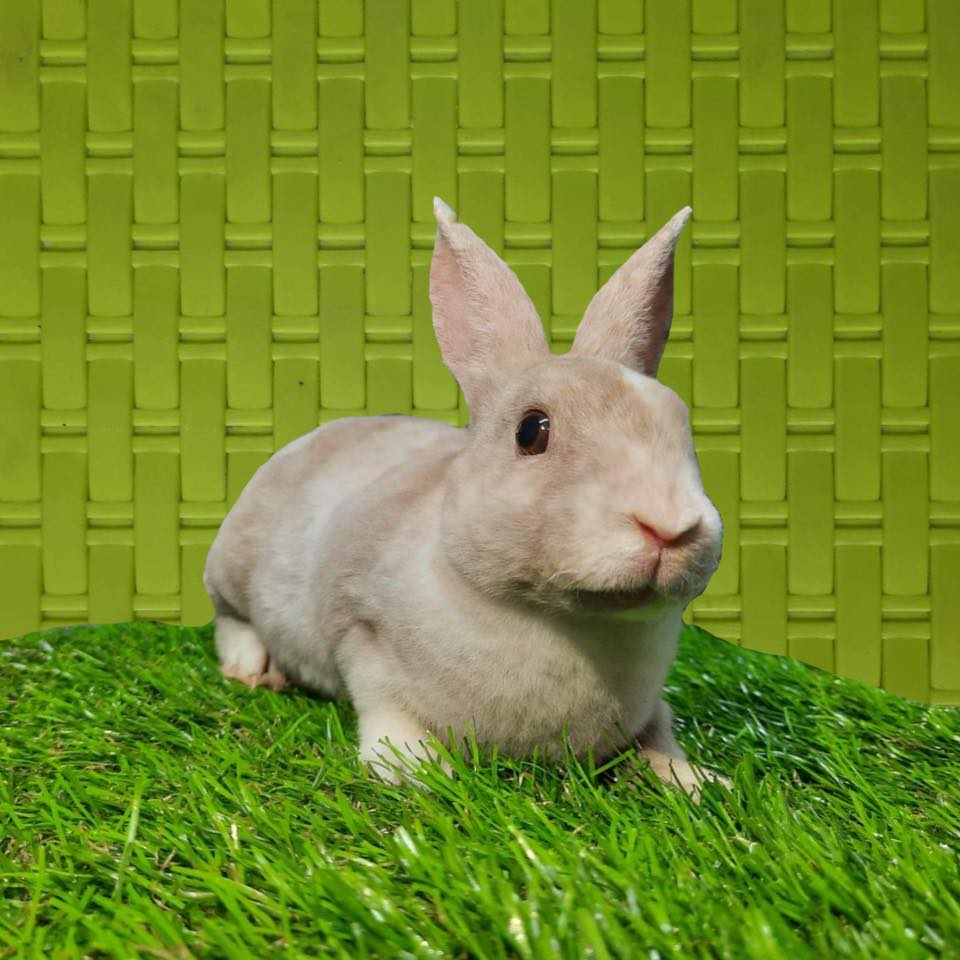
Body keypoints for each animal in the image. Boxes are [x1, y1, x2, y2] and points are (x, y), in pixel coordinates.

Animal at [203, 197, 731, 801]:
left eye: (680, 421)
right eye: (532, 431)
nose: (671, 526)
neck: (557, 618)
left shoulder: (649, 706)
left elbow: (660, 733)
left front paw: (700, 781)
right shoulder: (360, 631)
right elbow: (385, 706)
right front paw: (419, 770)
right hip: (234, 566)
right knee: (230, 619)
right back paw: (253, 670)